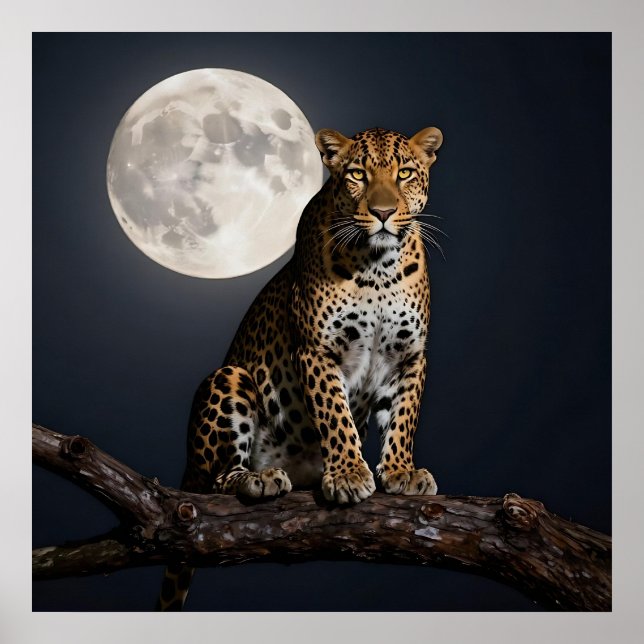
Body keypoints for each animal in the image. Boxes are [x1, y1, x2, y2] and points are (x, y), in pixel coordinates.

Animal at [156, 125, 444, 610]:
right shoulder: (317, 351)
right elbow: (336, 416)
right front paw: (349, 475)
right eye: (357, 174)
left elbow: (404, 419)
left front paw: (401, 471)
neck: (379, 268)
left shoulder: (409, 356)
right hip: (228, 380)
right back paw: (259, 480)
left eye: (404, 173)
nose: (384, 213)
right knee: (216, 480)